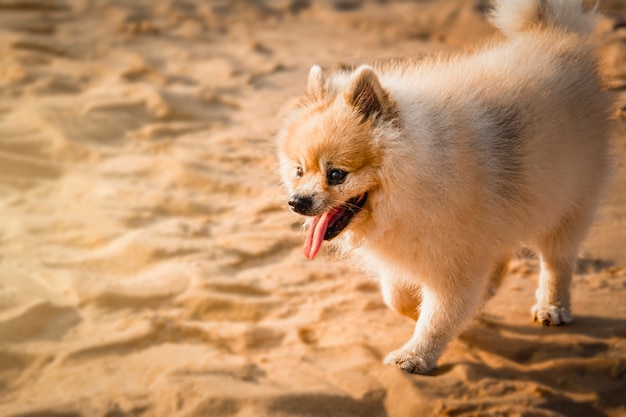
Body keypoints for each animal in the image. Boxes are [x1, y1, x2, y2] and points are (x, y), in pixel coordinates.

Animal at [276, 0, 612, 374]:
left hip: (567, 200)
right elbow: (397, 297)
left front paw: (415, 356)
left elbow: (439, 314)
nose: (297, 202)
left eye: (336, 174)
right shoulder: (419, 246)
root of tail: (553, 33)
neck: (420, 172)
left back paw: (552, 306)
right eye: (299, 171)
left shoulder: (455, 259)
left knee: (557, 260)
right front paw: (429, 315)